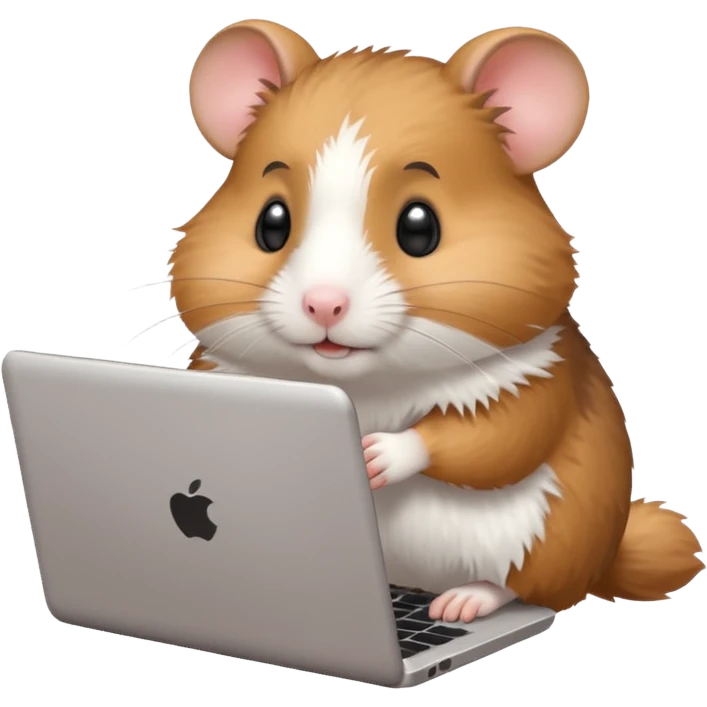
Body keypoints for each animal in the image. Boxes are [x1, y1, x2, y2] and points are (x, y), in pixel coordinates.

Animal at [169, 19, 705, 622]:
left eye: (419, 227)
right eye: (271, 223)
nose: (324, 304)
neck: (367, 384)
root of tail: (603, 557)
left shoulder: (538, 377)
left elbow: (497, 437)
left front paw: (374, 454)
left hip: (544, 541)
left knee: (522, 587)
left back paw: (462, 603)